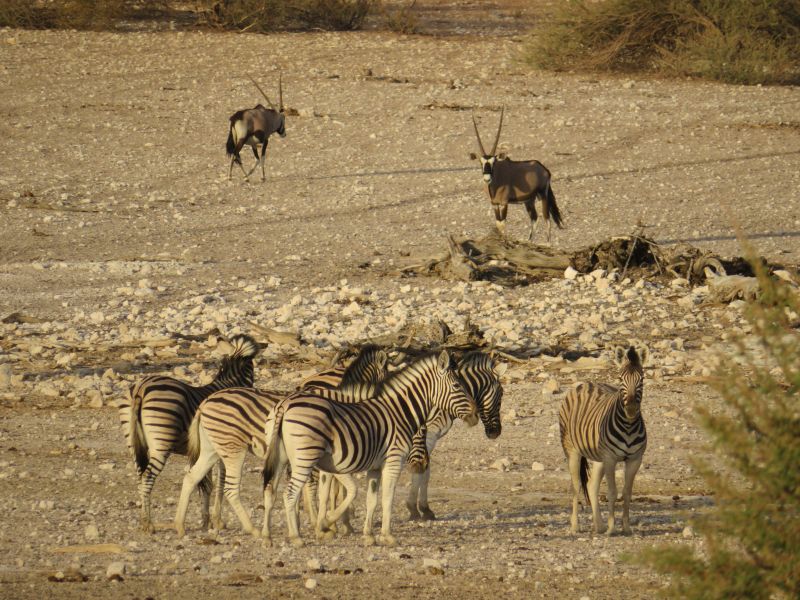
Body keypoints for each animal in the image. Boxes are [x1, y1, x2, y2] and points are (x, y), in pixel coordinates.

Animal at [118, 332, 260, 536]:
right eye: (252, 366)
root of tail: (141, 388)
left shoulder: (200, 451)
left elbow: (204, 484)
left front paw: (206, 520)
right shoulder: (221, 447)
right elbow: (219, 483)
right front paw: (217, 520)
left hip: (133, 442)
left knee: (140, 476)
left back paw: (143, 520)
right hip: (161, 442)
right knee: (147, 477)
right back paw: (148, 524)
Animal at [173, 346, 390, 540]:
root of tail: (205, 402)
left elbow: (329, 489)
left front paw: (333, 524)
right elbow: (328, 490)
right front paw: (330, 524)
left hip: (212, 449)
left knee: (192, 477)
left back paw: (180, 525)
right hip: (233, 448)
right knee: (230, 488)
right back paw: (253, 529)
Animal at [260, 352, 478, 548]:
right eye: (458, 386)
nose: (475, 415)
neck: (400, 412)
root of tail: (285, 404)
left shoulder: (374, 467)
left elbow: (371, 500)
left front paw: (368, 536)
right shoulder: (393, 461)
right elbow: (387, 499)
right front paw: (387, 536)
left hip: (280, 457)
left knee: (270, 490)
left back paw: (267, 537)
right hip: (305, 457)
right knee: (290, 494)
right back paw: (296, 538)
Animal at [406, 352, 506, 520]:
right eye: (501, 395)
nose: (496, 433)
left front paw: (422, 508)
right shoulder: (430, 433)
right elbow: (424, 471)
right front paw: (418, 509)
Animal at [556, 344, 648, 536]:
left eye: (642, 379)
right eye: (620, 378)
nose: (631, 409)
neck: (629, 426)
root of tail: (586, 383)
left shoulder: (635, 459)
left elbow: (627, 493)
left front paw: (626, 528)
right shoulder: (611, 458)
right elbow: (612, 492)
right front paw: (612, 529)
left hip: (599, 457)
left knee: (591, 485)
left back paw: (598, 525)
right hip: (572, 450)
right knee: (576, 486)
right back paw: (575, 526)